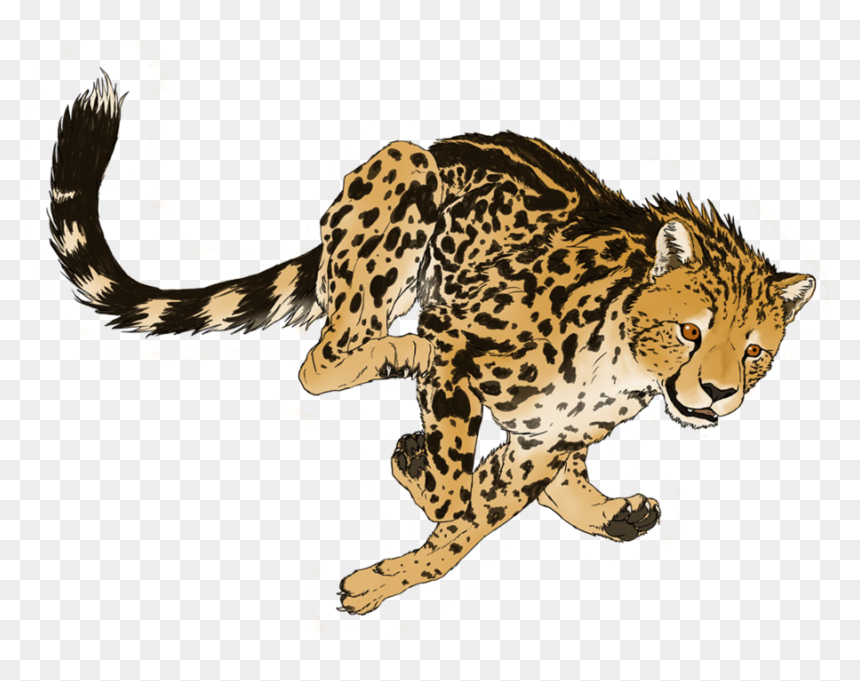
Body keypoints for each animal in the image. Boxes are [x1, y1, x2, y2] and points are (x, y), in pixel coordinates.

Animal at [49, 72, 815, 615]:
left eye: (755, 352)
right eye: (691, 329)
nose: (715, 393)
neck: (624, 357)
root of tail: (446, 142)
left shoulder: (549, 436)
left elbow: (481, 512)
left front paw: (401, 560)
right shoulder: (462, 350)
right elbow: (456, 498)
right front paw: (419, 476)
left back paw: (608, 511)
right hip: (405, 167)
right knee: (322, 361)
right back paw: (398, 355)